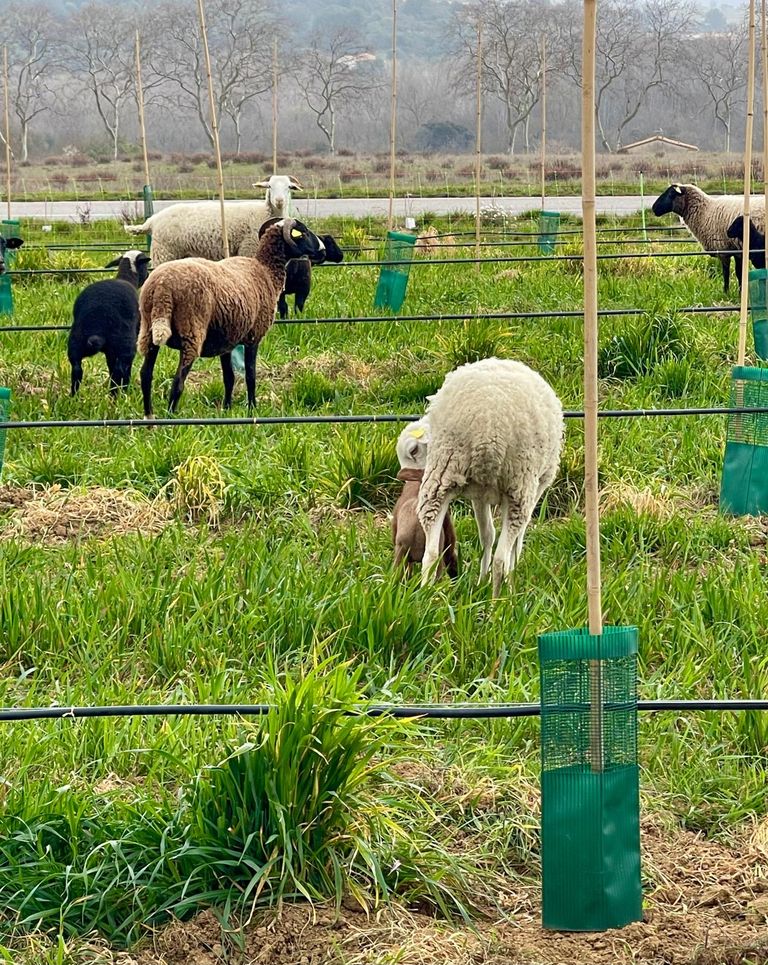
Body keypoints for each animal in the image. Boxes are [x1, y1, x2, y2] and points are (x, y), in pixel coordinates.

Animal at [68, 249, 151, 396]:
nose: (148, 275)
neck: (126, 278)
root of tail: (98, 319)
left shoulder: (109, 351)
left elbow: (110, 366)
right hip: (124, 342)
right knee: (121, 369)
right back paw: (118, 394)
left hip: (77, 339)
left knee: (76, 368)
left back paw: (73, 396)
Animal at [123, 174, 303, 265]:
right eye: (269, 187)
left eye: (289, 187)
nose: (279, 200)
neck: (265, 213)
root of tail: (152, 220)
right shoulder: (248, 248)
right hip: (164, 252)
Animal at [137, 218, 326, 417]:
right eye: (303, 233)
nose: (323, 251)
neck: (266, 271)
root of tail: (162, 288)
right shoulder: (253, 337)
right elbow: (250, 375)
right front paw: (252, 409)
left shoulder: (226, 341)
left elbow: (229, 377)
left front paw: (226, 409)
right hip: (191, 332)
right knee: (177, 383)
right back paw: (171, 417)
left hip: (148, 332)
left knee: (145, 375)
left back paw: (149, 416)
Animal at [417, 357, 563, 597]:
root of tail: (487, 426)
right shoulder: (535, 487)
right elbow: (515, 542)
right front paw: (510, 581)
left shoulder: (479, 494)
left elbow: (487, 535)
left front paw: (480, 581)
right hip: (519, 485)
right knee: (501, 558)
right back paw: (499, 602)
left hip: (441, 471)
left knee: (430, 551)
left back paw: (424, 596)